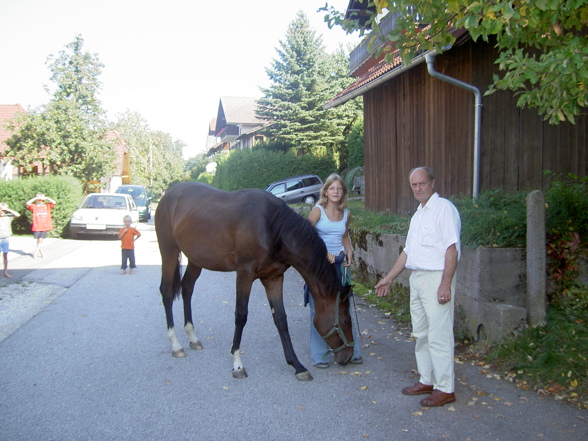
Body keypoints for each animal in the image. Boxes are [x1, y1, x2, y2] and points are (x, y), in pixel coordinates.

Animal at [154, 180, 354, 380]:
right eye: (346, 321)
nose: (348, 357)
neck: (272, 227)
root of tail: (168, 195)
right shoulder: (245, 274)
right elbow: (241, 316)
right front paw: (237, 364)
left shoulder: (273, 278)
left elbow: (281, 318)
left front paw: (297, 365)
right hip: (169, 252)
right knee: (167, 292)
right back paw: (176, 345)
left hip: (196, 260)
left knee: (187, 288)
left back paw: (193, 338)